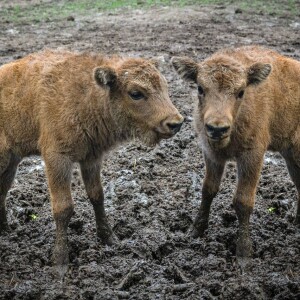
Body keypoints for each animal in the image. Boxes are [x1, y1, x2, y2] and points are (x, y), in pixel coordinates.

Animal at [0, 49, 183, 274]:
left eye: (165, 86)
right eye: (136, 93)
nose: (175, 123)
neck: (86, 95)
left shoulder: (92, 158)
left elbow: (97, 196)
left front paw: (110, 239)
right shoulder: (57, 158)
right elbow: (63, 208)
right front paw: (60, 262)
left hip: (12, 161)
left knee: (2, 190)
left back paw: (6, 229)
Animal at [172, 46, 300, 260]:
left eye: (241, 92)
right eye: (200, 88)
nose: (217, 128)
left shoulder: (252, 156)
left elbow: (243, 200)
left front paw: (244, 252)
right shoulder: (211, 154)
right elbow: (208, 189)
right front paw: (195, 231)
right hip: (290, 155)